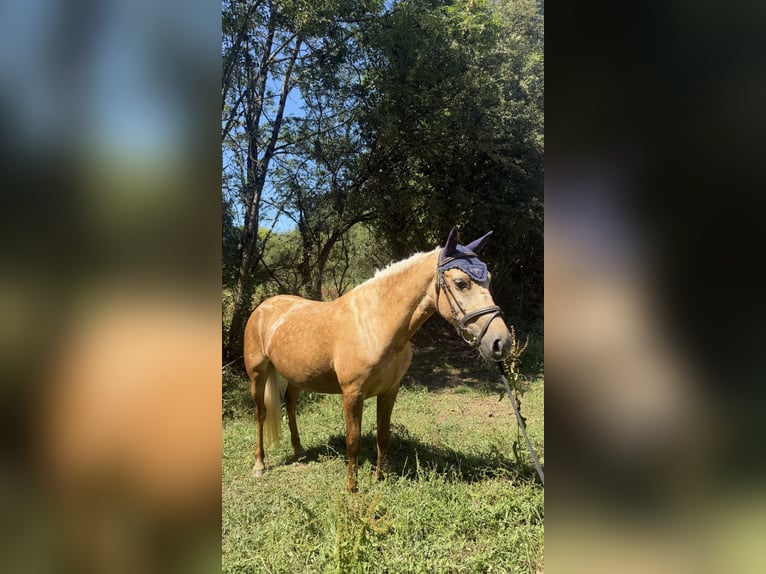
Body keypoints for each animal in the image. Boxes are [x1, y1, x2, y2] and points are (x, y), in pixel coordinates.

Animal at [243, 227, 512, 492]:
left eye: (489, 280)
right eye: (460, 282)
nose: (501, 342)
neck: (375, 323)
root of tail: (264, 307)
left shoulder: (390, 391)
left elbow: (383, 435)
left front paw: (379, 478)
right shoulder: (352, 394)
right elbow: (353, 442)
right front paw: (353, 488)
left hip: (297, 376)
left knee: (290, 403)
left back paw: (299, 450)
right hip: (258, 375)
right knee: (260, 414)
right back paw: (259, 464)